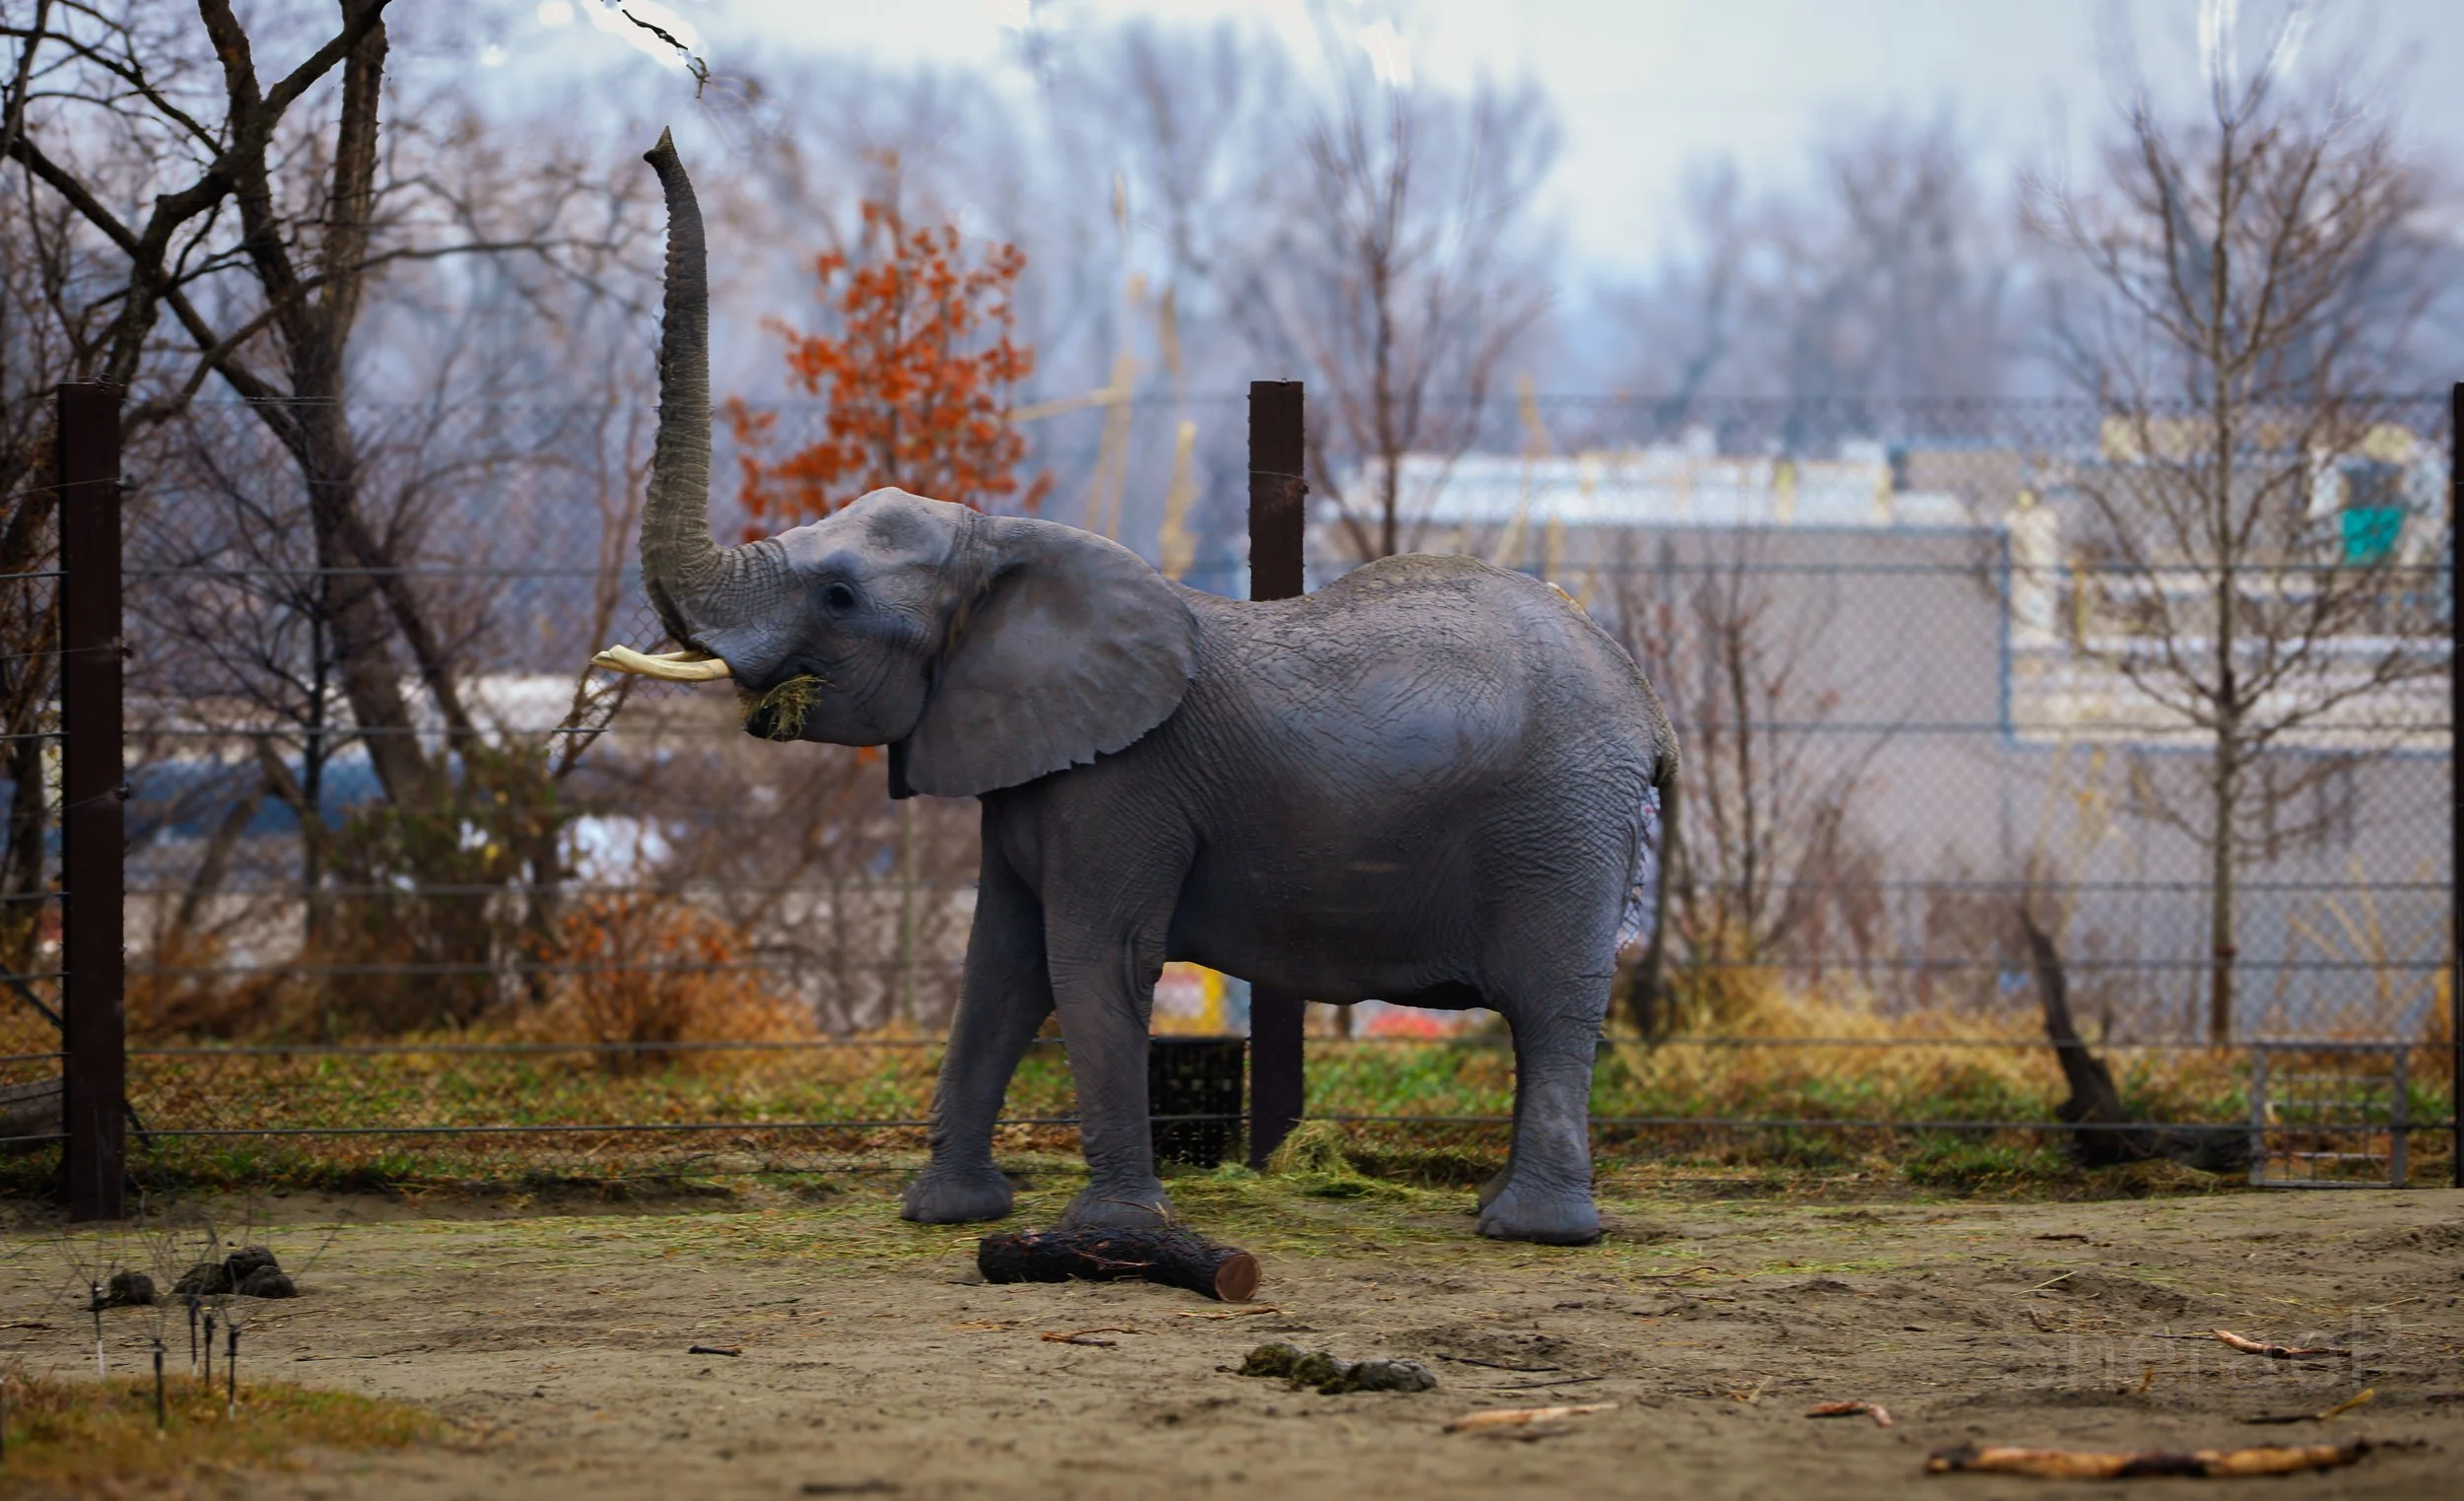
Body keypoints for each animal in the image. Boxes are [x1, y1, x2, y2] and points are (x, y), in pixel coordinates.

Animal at [594, 132, 1677, 1245]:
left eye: (840, 595)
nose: (658, 143)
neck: (1006, 546)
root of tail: (1647, 705)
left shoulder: (1125, 783)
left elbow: (1091, 961)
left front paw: (1111, 1235)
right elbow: (998, 967)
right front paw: (946, 1213)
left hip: (1560, 819)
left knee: (1552, 1003)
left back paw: (1529, 1229)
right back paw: (1499, 1210)